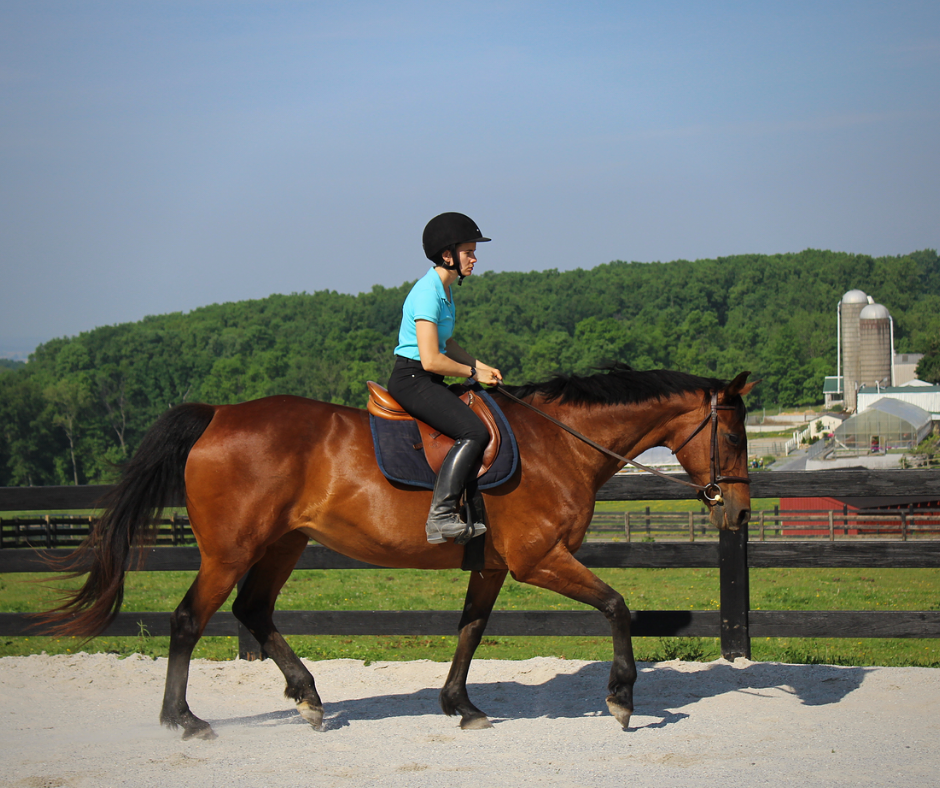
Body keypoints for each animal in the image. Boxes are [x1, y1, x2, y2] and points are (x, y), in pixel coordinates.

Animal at [44, 364, 756, 740]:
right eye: (734, 437)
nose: (740, 512)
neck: (560, 444)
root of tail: (219, 414)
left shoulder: (494, 566)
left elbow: (471, 630)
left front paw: (461, 707)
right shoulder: (538, 559)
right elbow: (616, 605)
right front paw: (622, 700)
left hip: (283, 544)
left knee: (253, 612)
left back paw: (309, 698)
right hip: (230, 552)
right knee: (189, 619)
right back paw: (184, 719)